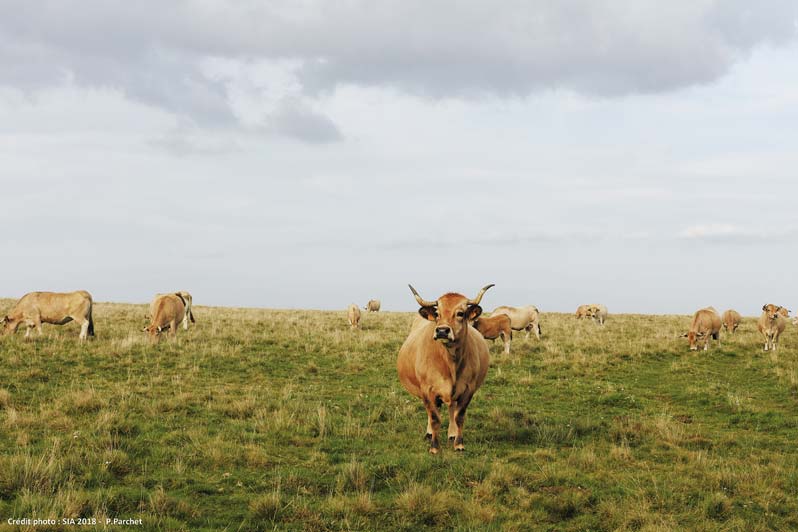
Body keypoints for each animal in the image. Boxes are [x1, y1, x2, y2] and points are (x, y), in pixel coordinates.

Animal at [398, 282, 494, 454]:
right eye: (437, 313)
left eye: (460, 313)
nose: (442, 330)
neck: (450, 362)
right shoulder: (427, 390)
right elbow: (435, 418)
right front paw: (434, 447)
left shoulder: (468, 389)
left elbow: (459, 416)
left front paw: (459, 443)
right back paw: (430, 434)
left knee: (452, 408)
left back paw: (452, 434)